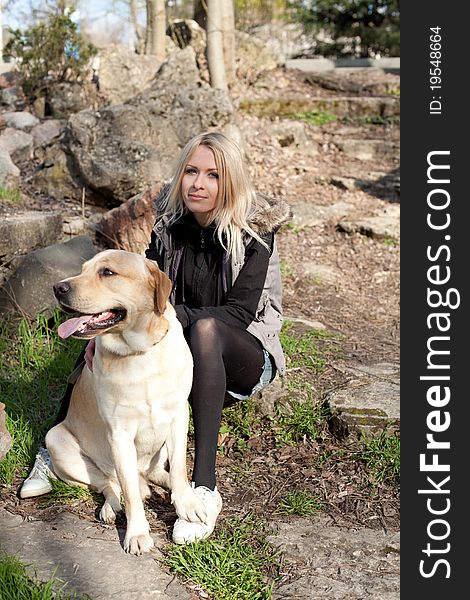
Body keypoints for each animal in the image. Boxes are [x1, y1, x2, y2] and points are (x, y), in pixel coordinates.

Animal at [45, 248, 205, 552]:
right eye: (83, 270)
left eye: (107, 272)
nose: (58, 288)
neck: (139, 353)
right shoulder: (119, 434)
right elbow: (129, 493)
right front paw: (137, 534)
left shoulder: (179, 415)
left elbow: (179, 467)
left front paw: (187, 503)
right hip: (56, 440)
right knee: (110, 483)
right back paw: (111, 506)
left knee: (157, 472)